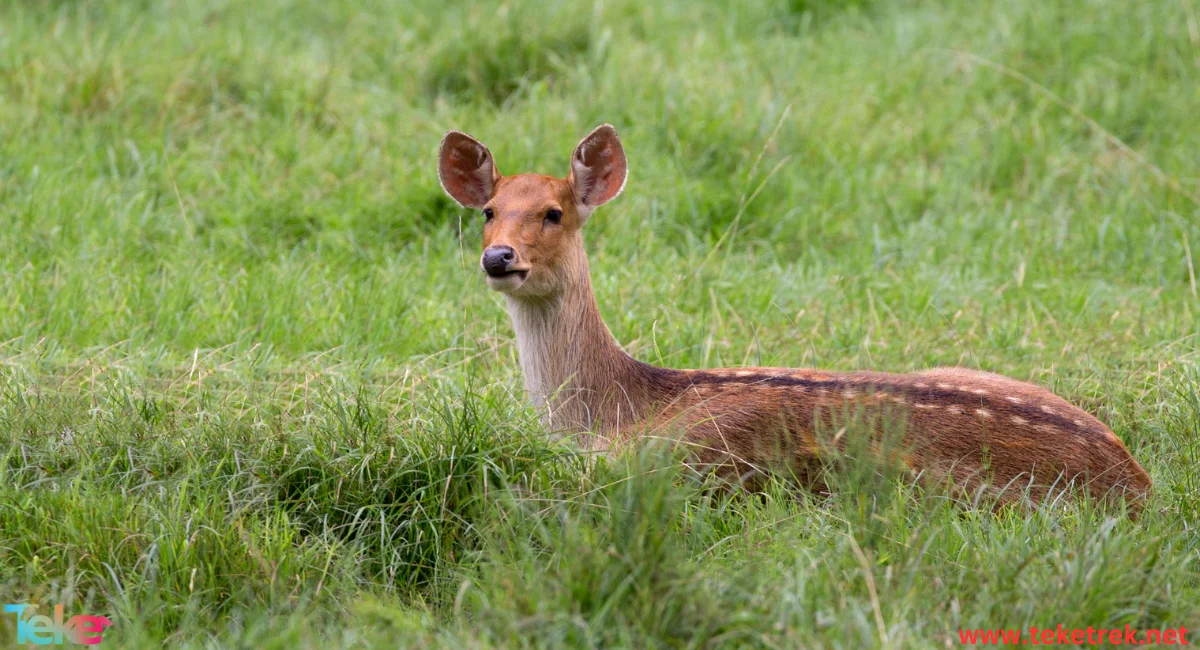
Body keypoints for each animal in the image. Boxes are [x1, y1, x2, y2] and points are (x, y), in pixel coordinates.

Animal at [439, 124, 1152, 515]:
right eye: (489, 211)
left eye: (554, 213)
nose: (499, 257)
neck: (614, 413)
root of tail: (1139, 487)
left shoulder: (678, 464)